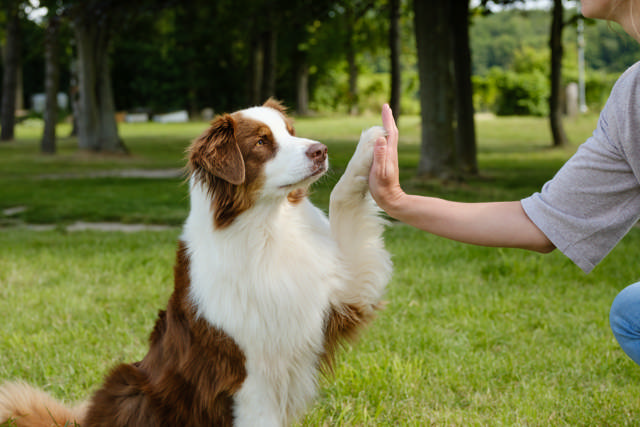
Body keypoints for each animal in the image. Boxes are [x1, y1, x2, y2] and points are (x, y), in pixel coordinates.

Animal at [0, 98, 392, 426]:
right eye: (261, 142)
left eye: (291, 132)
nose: (321, 150)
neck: (267, 227)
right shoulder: (248, 374)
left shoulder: (340, 296)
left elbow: (342, 198)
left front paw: (374, 143)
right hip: (128, 384)